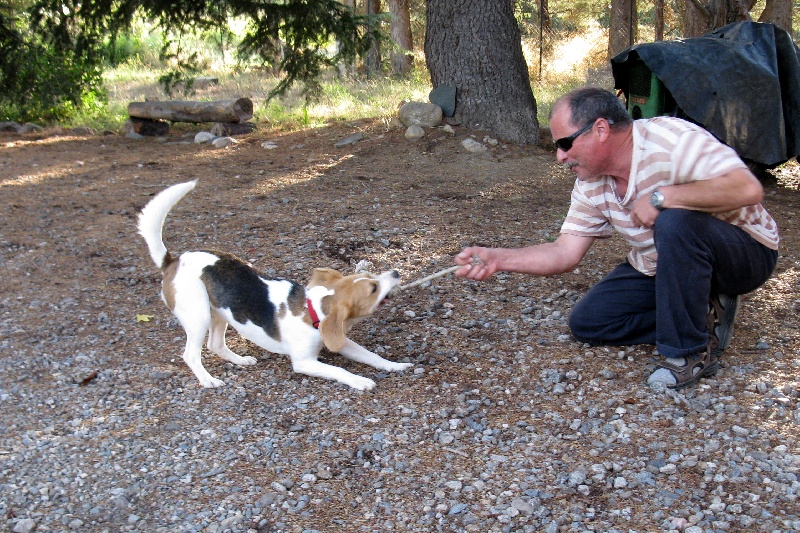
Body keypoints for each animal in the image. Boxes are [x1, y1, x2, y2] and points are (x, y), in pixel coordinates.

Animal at [137, 180, 412, 390]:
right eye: (373, 288)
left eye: (371, 275)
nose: (396, 272)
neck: (312, 312)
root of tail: (173, 260)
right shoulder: (304, 362)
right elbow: (339, 371)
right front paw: (359, 381)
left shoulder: (342, 341)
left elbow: (372, 356)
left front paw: (395, 366)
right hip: (199, 316)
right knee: (191, 354)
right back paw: (208, 380)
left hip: (219, 313)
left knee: (215, 345)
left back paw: (240, 360)